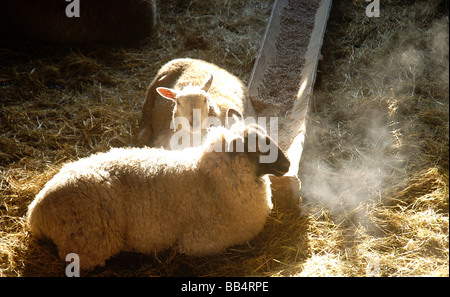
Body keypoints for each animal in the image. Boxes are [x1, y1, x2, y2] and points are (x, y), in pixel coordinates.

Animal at [26, 110, 290, 268]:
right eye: (260, 148)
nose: (287, 164)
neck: (209, 177)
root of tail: (35, 211)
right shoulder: (201, 242)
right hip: (90, 238)